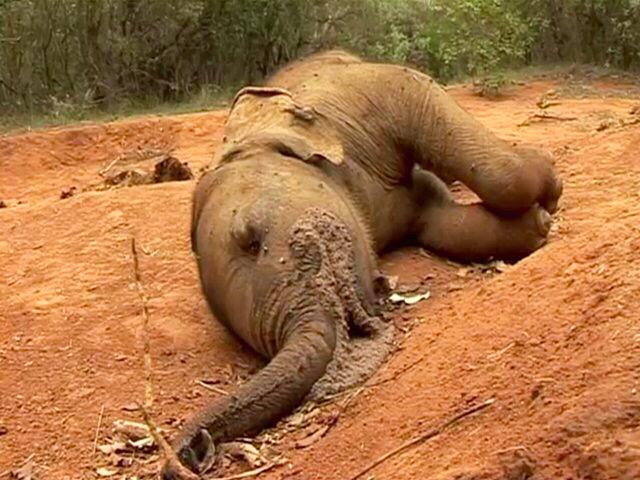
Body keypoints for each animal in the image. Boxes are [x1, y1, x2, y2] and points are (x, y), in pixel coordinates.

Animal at [161, 50, 562, 478]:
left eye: (251, 239)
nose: (191, 454)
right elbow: (439, 224)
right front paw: (538, 223)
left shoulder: (371, 93)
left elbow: (430, 107)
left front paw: (550, 189)